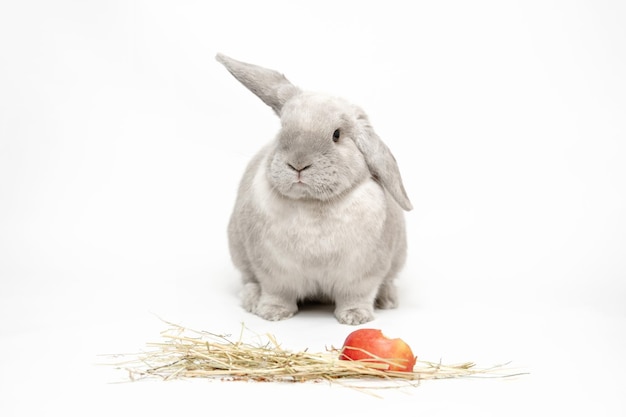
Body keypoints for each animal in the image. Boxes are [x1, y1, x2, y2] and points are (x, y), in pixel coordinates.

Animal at [214, 52, 410, 324]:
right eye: (282, 130)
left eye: (336, 135)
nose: (298, 164)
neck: (313, 203)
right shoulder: (273, 272)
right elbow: (277, 292)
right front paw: (272, 313)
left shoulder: (363, 274)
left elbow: (357, 296)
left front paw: (355, 318)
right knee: (249, 280)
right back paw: (253, 300)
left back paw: (387, 299)